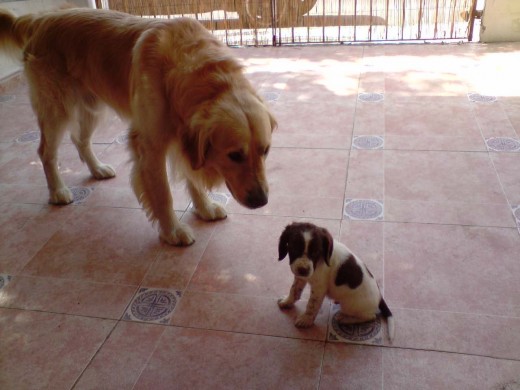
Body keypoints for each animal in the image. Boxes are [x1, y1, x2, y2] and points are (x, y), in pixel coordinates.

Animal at [0, 7, 276, 245]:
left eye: (265, 151)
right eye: (234, 155)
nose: (262, 201)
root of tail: (40, 18)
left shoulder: (183, 138)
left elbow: (191, 176)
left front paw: (204, 207)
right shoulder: (150, 145)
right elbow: (163, 193)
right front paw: (173, 231)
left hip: (92, 106)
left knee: (80, 140)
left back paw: (97, 169)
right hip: (57, 109)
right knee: (46, 152)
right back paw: (58, 191)